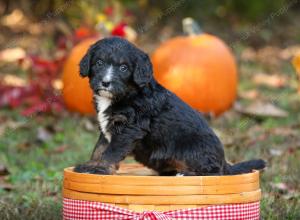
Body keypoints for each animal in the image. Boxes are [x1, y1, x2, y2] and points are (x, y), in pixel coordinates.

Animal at [74, 37, 266, 176]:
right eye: (99, 63)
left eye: (123, 68)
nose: (105, 83)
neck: (125, 95)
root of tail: (224, 162)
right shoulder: (108, 128)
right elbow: (99, 149)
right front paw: (89, 166)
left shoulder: (129, 129)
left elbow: (110, 152)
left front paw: (100, 169)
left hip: (194, 149)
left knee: (213, 172)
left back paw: (188, 174)